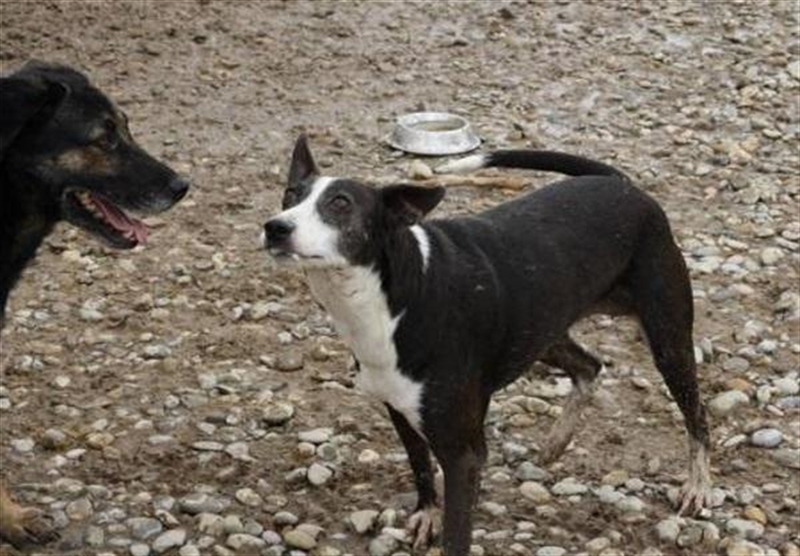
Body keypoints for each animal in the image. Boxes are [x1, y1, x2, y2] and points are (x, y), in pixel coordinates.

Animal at [263, 136, 711, 556]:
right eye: (290, 195)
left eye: (340, 203)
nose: (275, 227)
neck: (390, 296)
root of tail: (623, 185)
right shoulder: (399, 410)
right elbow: (420, 467)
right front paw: (427, 514)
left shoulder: (464, 454)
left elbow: (457, 535)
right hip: (542, 330)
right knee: (590, 365)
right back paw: (557, 441)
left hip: (668, 338)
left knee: (696, 414)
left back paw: (698, 486)